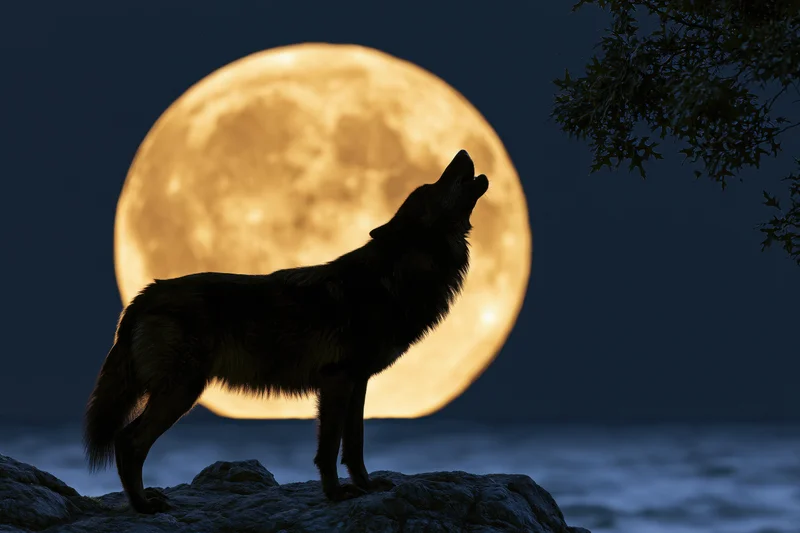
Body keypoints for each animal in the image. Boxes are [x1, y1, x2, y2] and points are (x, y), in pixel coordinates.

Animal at [83, 149, 489, 514]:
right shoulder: (336, 380)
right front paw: (336, 495)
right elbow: (329, 447)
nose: (463, 152)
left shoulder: (357, 382)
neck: (396, 277)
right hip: (181, 392)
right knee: (128, 441)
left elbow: (354, 445)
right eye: (433, 187)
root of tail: (144, 295)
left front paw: (366, 486)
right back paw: (142, 505)